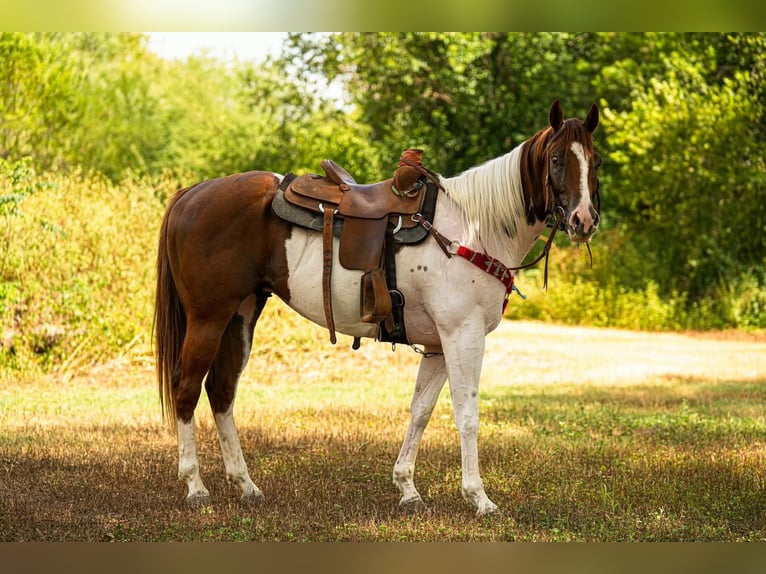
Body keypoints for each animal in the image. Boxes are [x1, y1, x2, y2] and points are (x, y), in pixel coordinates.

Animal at [154, 99, 601, 517]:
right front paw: (479, 497)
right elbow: (467, 415)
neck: (474, 229)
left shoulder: (438, 345)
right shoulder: (463, 335)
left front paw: (407, 489)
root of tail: (192, 193)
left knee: (222, 391)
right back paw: (195, 487)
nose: (584, 220)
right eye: (557, 159)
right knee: (187, 388)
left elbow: (421, 411)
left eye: (594, 161)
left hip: (241, 315)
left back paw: (245, 485)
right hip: (209, 318)